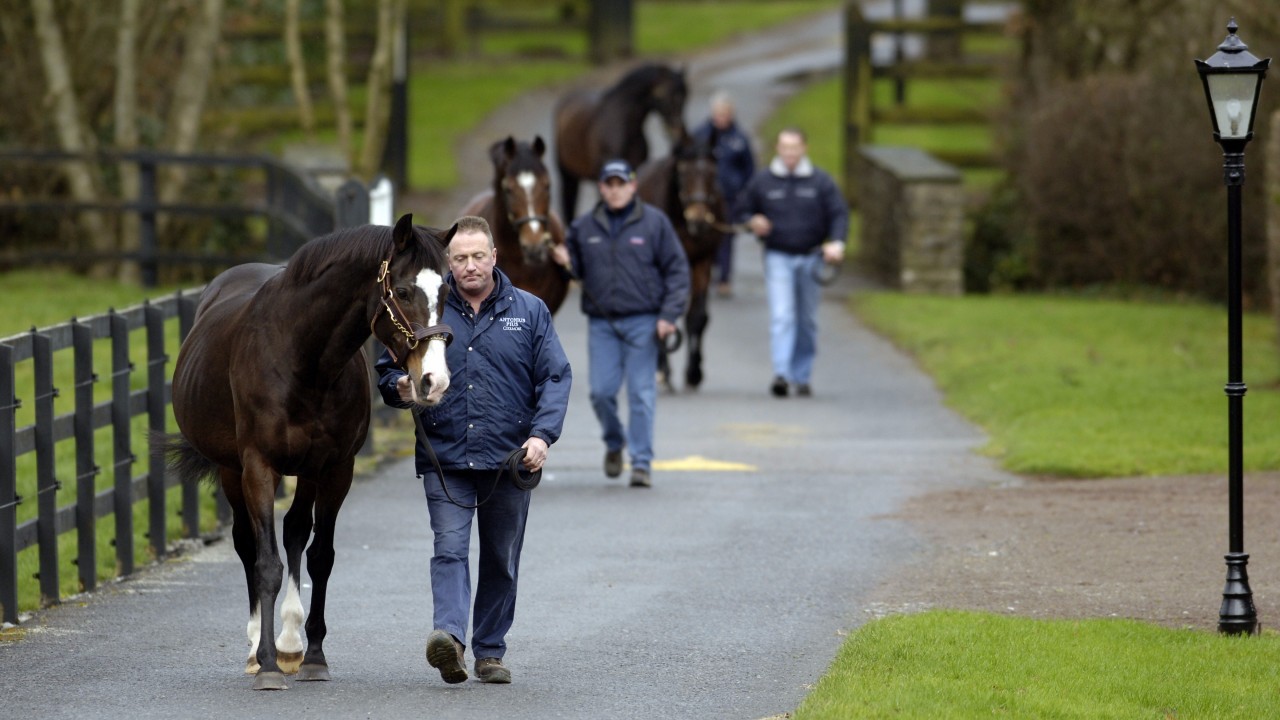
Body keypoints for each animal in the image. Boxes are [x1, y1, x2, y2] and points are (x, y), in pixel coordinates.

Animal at [159, 213, 453, 691]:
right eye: (404, 291)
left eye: (447, 290)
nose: (434, 380)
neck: (304, 358)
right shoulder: (258, 467)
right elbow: (267, 564)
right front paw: (267, 666)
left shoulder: (335, 469)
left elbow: (320, 557)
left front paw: (312, 656)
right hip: (231, 470)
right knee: (247, 544)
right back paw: (256, 649)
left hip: (306, 472)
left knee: (296, 531)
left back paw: (291, 642)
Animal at [634, 133, 727, 392]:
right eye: (684, 172)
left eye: (713, 172)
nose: (699, 220)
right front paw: (663, 372)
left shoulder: (702, 261)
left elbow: (697, 317)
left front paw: (694, 373)